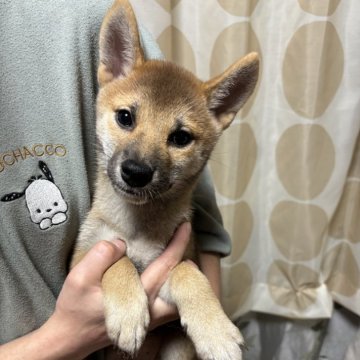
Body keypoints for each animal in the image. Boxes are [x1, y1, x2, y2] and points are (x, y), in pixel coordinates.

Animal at [72, 0, 258, 358]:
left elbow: (188, 272)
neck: (138, 227)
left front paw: (215, 329)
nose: (136, 172)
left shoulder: (178, 262)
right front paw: (128, 311)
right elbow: (117, 261)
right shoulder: (80, 261)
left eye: (181, 137)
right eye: (125, 117)